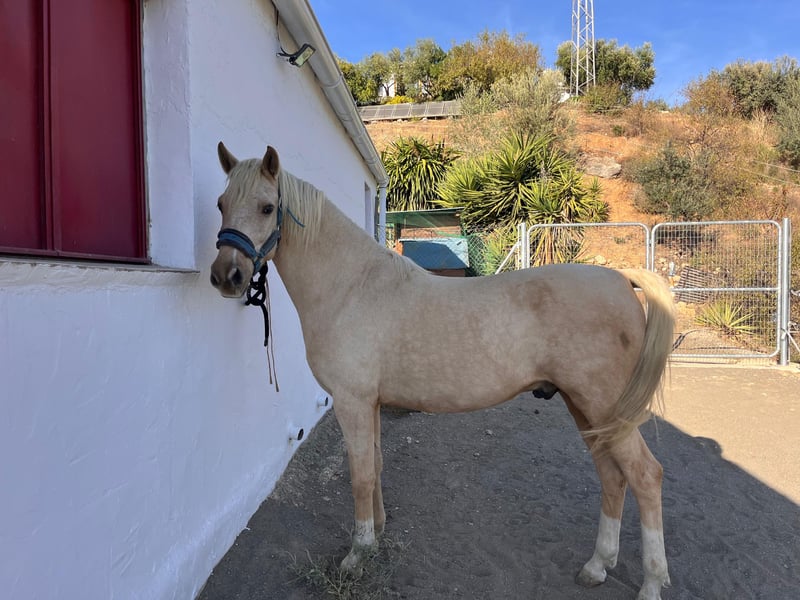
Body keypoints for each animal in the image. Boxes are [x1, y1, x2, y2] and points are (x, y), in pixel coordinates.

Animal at [210, 143, 675, 600]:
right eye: (221, 203)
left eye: (268, 207)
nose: (226, 275)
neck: (352, 287)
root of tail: (622, 280)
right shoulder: (371, 403)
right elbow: (376, 465)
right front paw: (377, 532)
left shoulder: (352, 402)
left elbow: (360, 474)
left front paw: (358, 554)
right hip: (585, 410)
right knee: (613, 477)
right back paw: (597, 566)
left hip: (603, 408)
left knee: (646, 476)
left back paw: (651, 583)